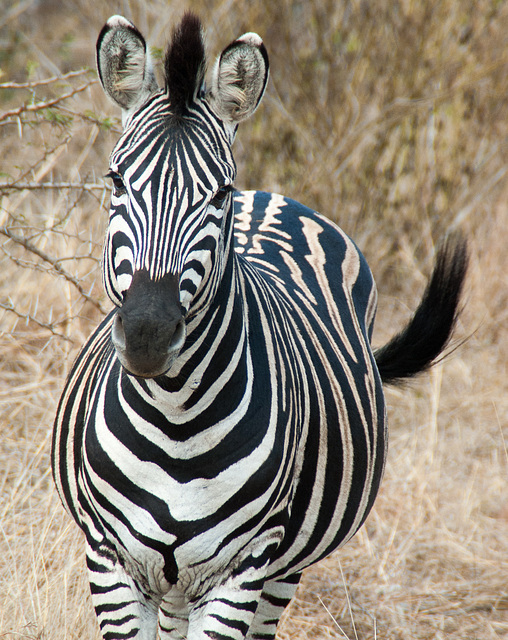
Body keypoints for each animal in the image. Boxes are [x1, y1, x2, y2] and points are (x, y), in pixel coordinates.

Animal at [51, 13, 468, 640]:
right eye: (116, 180)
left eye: (219, 193)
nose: (147, 336)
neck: (175, 420)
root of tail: (271, 196)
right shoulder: (110, 563)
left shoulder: (242, 570)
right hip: (174, 585)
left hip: (282, 570)